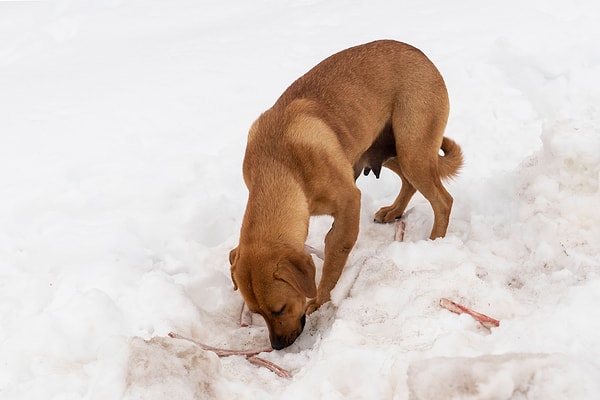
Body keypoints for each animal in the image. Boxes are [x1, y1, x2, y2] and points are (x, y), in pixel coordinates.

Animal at [227, 39, 462, 348]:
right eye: (257, 312)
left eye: (279, 308)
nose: (278, 346)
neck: (280, 165)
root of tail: (419, 53)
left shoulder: (349, 202)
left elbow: (333, 262)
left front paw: (320, 301)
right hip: (386, 150)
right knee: (410, 184)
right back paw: (394, 211)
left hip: (413, 150)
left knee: (443, 200)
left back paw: (435, 243)